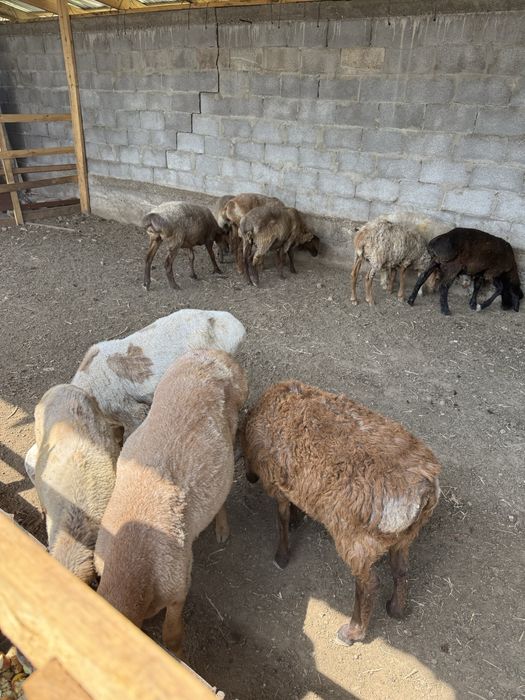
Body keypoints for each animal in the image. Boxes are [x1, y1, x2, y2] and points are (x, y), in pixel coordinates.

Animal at [243, 380, 441, 646]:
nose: (249, 477)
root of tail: (423, 491)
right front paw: (297, 519)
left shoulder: (276, 482)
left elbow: (281, 517)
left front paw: (282, 556)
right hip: (404, 538)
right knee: (400, 569)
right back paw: (396, 609)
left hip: (357, 541)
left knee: (369, 584)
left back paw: (352, 632)